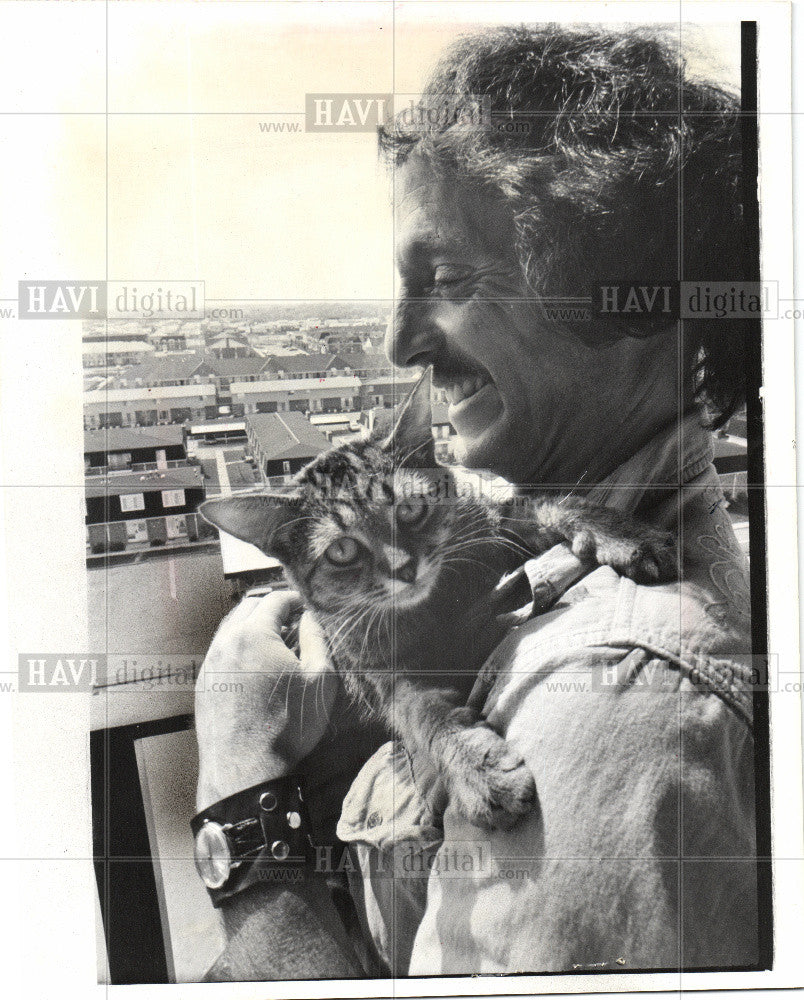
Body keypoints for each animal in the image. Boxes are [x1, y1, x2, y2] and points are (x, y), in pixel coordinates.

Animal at [199, 374, 672, 828]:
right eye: (342, 551)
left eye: (410, 509)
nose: (404, 568)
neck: (439, 607)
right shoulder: (383, 677)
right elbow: (423, 717)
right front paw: (477, 769)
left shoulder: (494, 524)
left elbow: (555, 506)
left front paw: (625, 536)